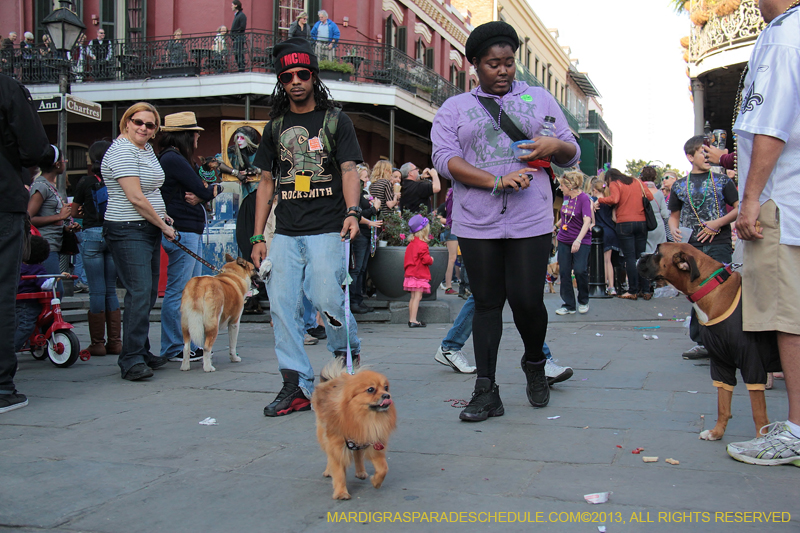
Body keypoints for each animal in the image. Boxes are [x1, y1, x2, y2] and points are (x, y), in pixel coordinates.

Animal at [314, 360, 398, 500]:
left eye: (386, 387)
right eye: (370, 389)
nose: (387, 395)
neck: (364, 419)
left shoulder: (374, 444)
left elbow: (383, 468)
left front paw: (376, 482)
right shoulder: (337, 447)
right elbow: (339, 472)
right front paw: (341, 493)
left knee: (358, 454)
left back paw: (360, 472)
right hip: (324, 435)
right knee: (329, 455)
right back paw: (328, 470)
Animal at [636, 242, 780, 440]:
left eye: (658, 251)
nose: (640, 254)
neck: (709, 287)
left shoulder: (752, 364)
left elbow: (758, 412)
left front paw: (760, 439)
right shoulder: (721, 363)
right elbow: (723, 403)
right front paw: (716, 432)